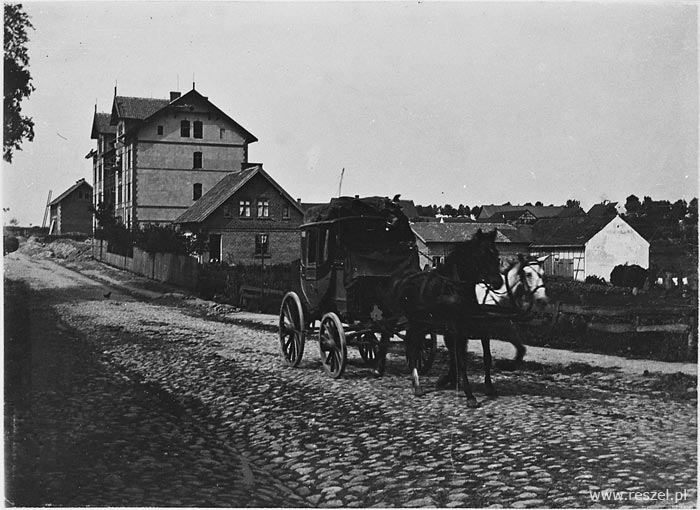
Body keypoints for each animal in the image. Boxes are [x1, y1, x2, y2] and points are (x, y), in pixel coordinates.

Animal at [378, 229, 504, 404]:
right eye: (481, 255)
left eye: (496, 255)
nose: (498, 282)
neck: (454, 288)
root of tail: (395, 278)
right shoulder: (456, 328)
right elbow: (460, 360)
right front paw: (469, 395)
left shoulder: (472, 326)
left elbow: (484, 356)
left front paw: (488, 387)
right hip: (394, 317)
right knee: (389, 339)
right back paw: (395, 376)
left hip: (417, 324)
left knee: (411, 347)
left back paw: (412, 381)